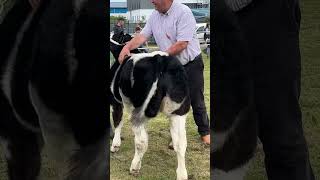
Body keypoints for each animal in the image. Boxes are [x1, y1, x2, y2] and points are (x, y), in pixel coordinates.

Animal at [110, 33, 190, 179]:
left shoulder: (115, 101)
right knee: (180, 143)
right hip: (179, 112)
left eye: (116, 35)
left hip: (139, 111)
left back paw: (135, 167)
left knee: (141, 142)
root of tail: (160, 59)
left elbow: (118, 121)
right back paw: (182, 175)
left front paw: (115, 146)